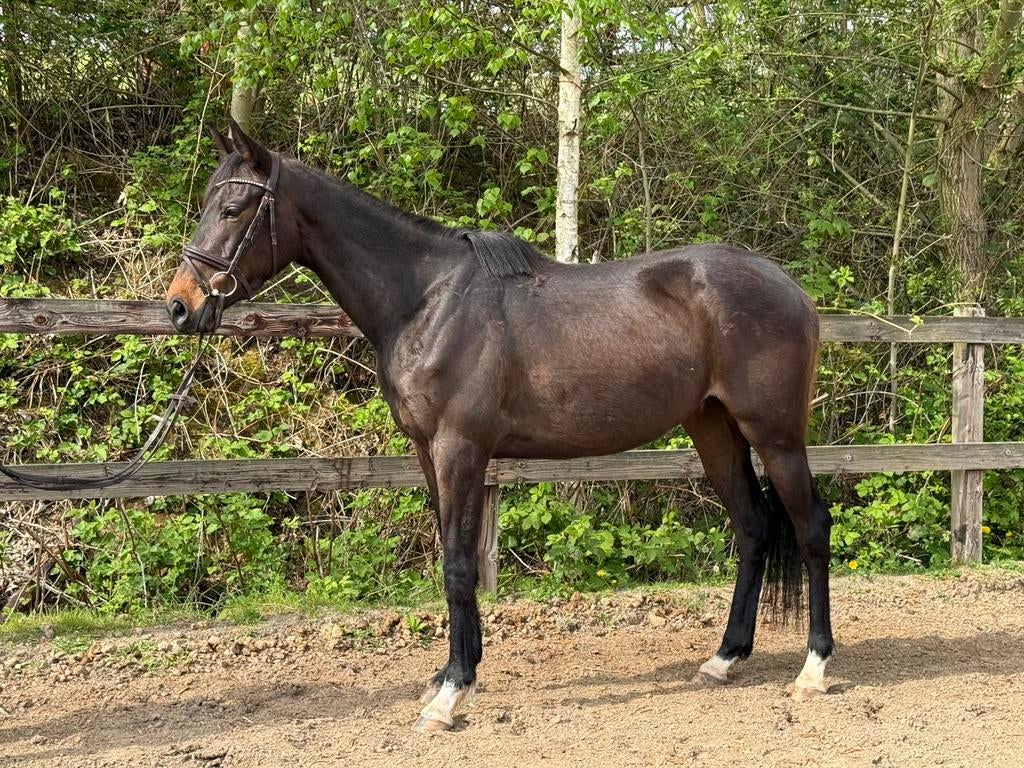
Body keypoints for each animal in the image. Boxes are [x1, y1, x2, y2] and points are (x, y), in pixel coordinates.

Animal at [165, 120, 834, 731]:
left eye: (232, 208)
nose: (180, 306)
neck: (427, 301)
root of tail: (792, 288)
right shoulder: (428, 454)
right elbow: (449, 556)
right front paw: (451, 673)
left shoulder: (461, 449)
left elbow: (460, 564)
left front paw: (451, 694)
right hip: (713, 429)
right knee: (752, 528)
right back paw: (725, 657)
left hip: (775, 434)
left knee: (810, 527)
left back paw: (814, 667)